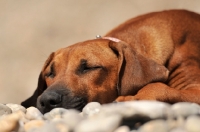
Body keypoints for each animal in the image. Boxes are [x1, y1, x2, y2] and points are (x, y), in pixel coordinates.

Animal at [21, 9, 200, 113]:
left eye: (89, 68)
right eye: (50, 73)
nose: (46, 100)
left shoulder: (194, 87)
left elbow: (157, 86)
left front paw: (133, 98)